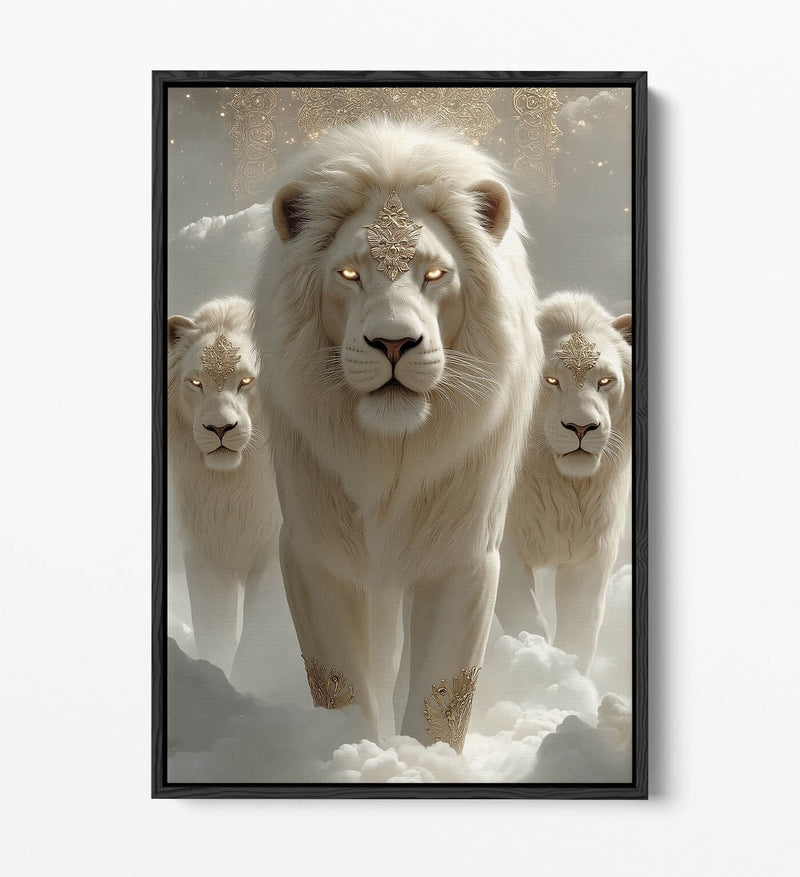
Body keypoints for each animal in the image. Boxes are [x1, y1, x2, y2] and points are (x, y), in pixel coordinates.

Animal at [167, 295, 281, 682]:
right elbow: (214, 631)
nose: (219, 428)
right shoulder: (207, 551)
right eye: (196, 382)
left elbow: (258, 636)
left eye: (246, 380)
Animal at [253, 120, 542, 751]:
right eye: (349, 274)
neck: (389, 455)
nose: (392, 342)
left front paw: (424, 760)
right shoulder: (313, 549)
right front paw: (349, 750)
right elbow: (339, 680)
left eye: (434, 274)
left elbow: (443, 689)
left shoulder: (464, 554)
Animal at [495, 292, 633, 675]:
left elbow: (580, 631)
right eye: (551, 380)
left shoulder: (592, 553)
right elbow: (524, 615)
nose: (582, 427)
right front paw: (535, 660)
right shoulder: (502, 547)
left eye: (605, 381)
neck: (563, 487)